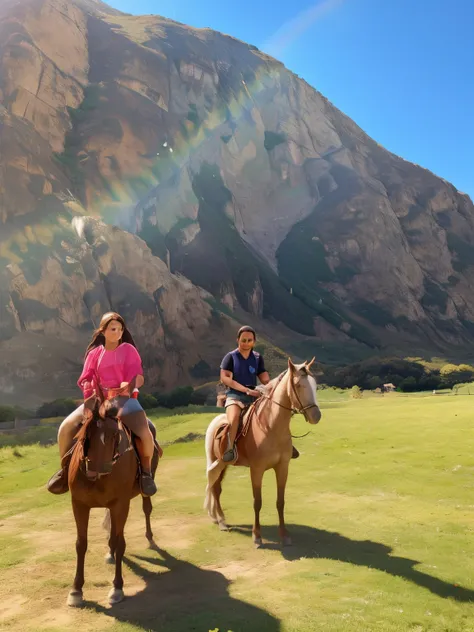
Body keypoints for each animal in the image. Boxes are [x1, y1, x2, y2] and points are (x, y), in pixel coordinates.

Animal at [65, 390, 160, 608]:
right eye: (86, 433)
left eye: (116, 435)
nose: (98, 470)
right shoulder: (79, 504)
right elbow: (81, 544)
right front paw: (76, 590)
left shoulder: (121, 504)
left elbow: (120, 541)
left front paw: (117, 588)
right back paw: (109, 552)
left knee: (146, 509)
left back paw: (150, 538)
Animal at [205, 360, 322, 548]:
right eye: (298, 385)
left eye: (315, 385)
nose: (316, 416)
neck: (270, 426)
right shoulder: (257, 469)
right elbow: (257, 502)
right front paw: (257, 536)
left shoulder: (282, 467)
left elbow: (280, 501)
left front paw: (284, 535)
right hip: (218, 461)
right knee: (214, 487)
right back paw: (221, 521)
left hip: (224, 464)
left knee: (216, 488)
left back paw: (219, 518)